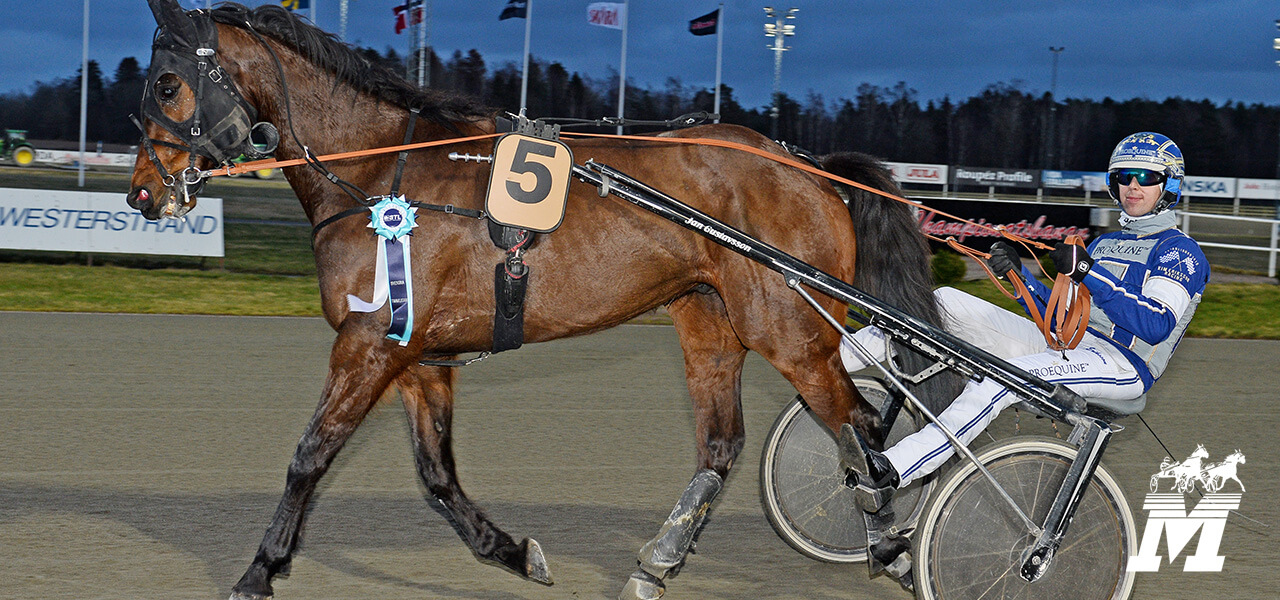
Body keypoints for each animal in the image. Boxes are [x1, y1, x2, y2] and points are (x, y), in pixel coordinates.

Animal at [124, 2, 957, 596]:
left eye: (165, 83)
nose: (141, 194)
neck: (385, 175)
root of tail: (809, 165)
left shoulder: (366, 347)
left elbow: (309, 456)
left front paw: (258, 570)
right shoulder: (417, 358)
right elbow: (437, 478)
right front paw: (515, 552)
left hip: (790, 330)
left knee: (860, 429)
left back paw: (889, 540)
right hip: (710, 321)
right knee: (726, 444)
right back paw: (659, 563)